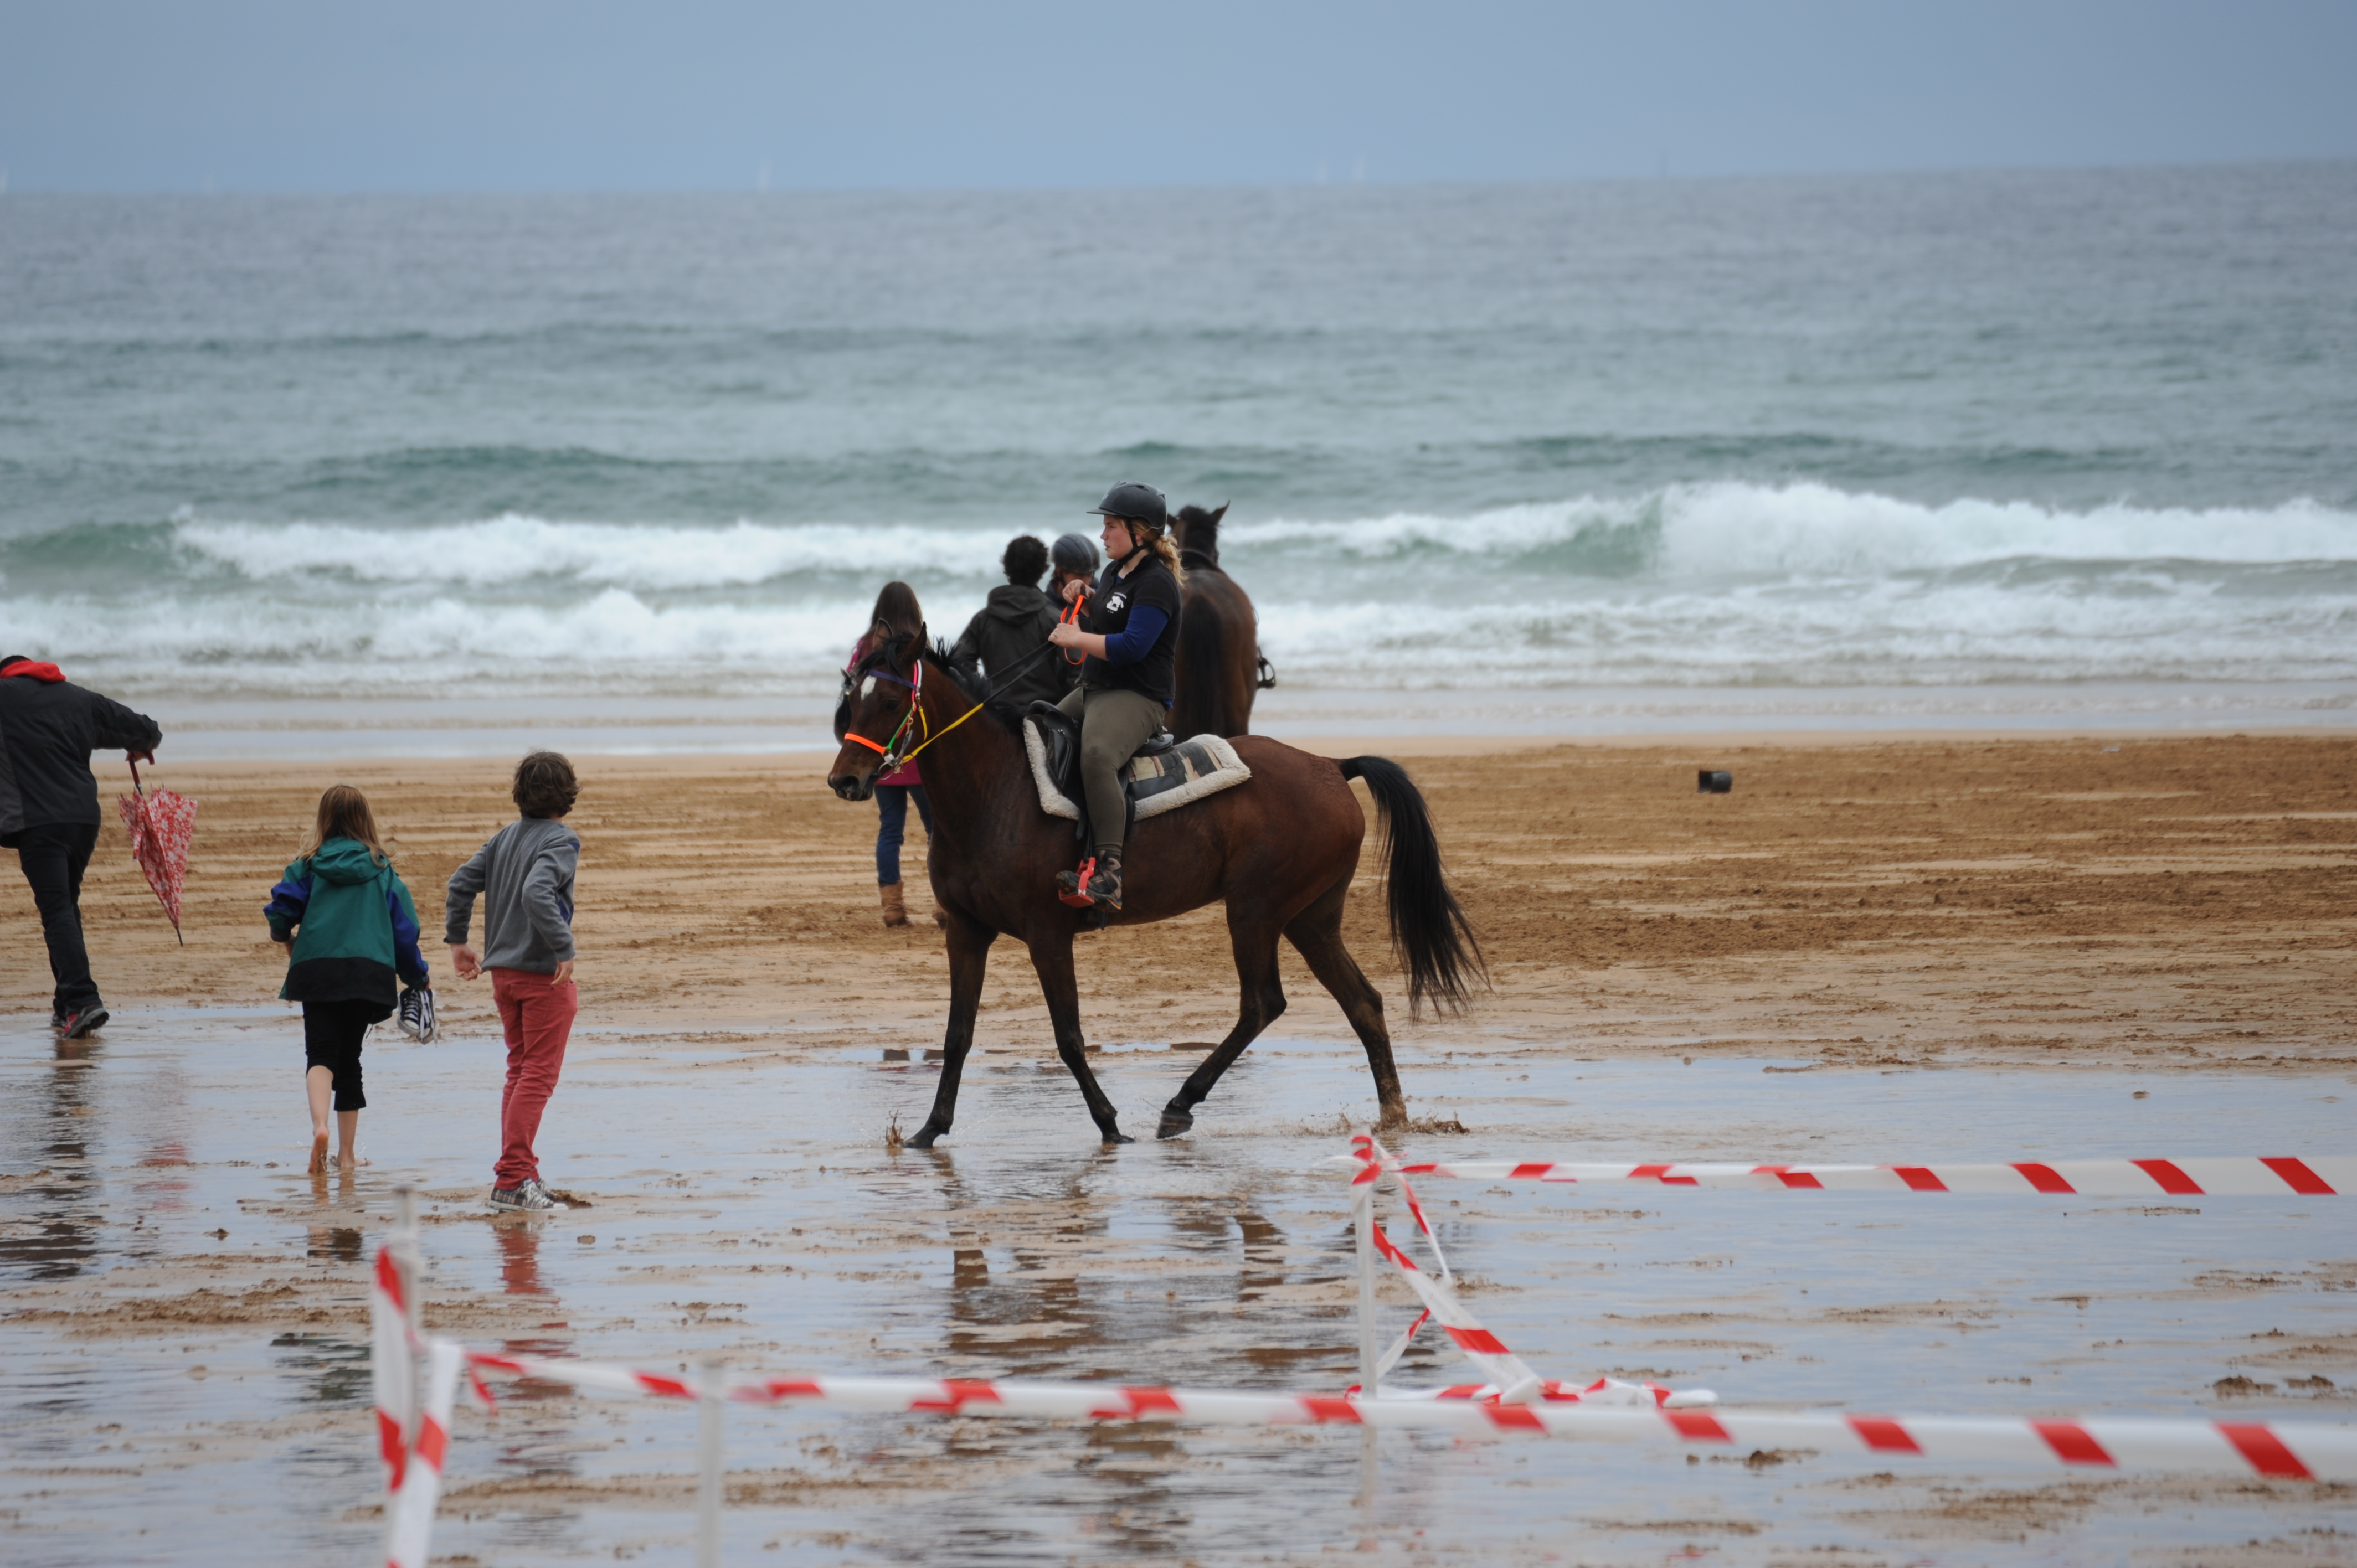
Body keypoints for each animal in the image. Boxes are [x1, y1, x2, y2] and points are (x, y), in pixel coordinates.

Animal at [828, 631, 1482, 1147]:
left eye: (890, 700)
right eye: (850, 700)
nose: (845, 780)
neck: (996, 792)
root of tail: (1329, 765)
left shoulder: (1047, 935)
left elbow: (1068, 1036)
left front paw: (1109, 1123)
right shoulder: (965, 933)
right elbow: (957, 1035)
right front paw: (930, 1127)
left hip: (1255, 910)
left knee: (1262, 1003)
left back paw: (1180, 1104)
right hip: (1309, 918)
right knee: (1362, 1003)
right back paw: (1392, 1115)